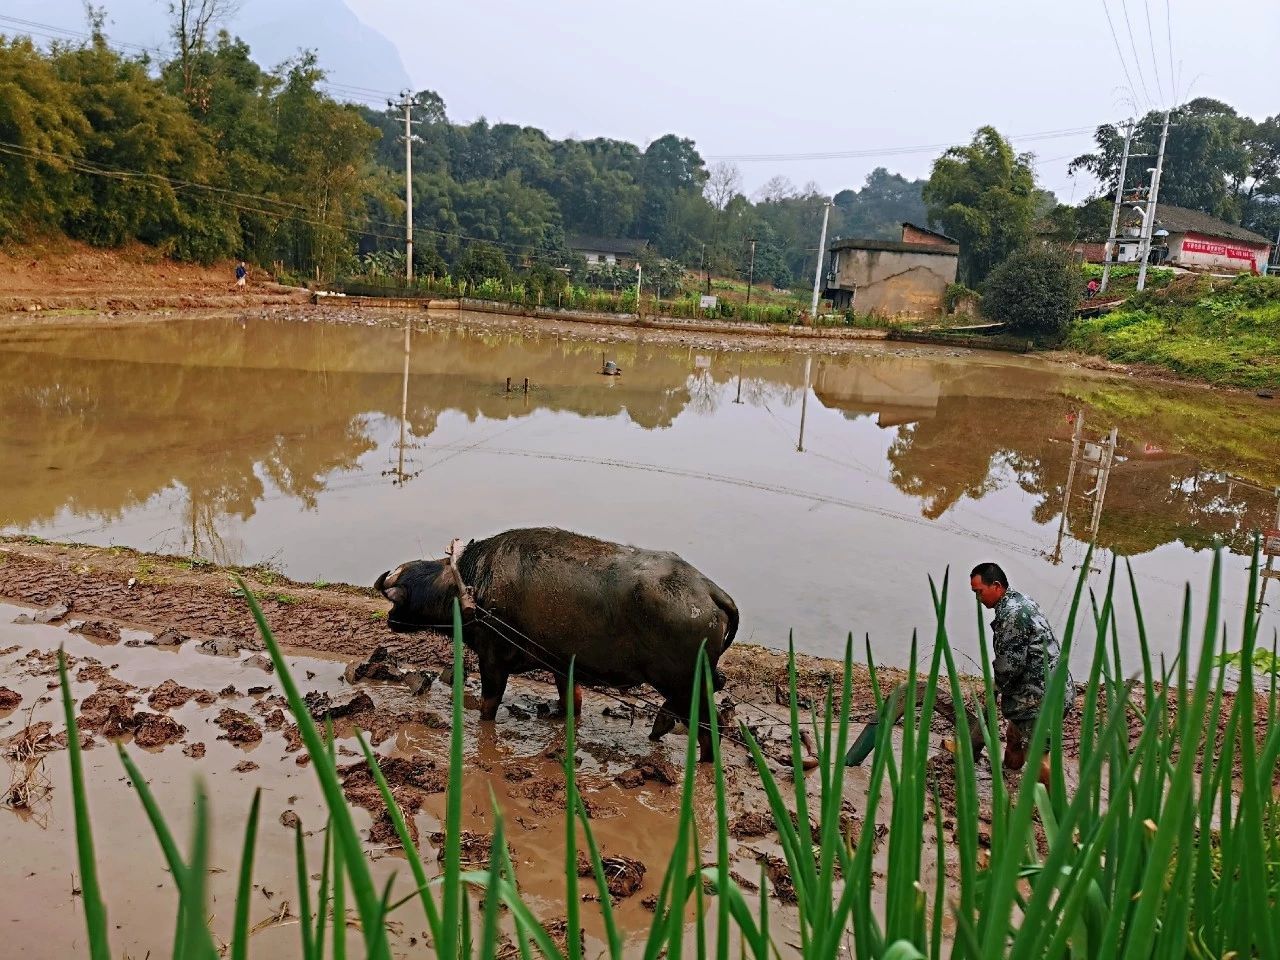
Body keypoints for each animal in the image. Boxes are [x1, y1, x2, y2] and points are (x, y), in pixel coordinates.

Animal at [373, 529, 742, 762]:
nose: (390, 619)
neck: (471, 589)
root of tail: (709, 590)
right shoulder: (563, 666)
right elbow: (571, 702)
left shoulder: (493, 660)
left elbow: (489, 704)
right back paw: (659, 729)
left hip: (684, 681)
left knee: (709, 724)